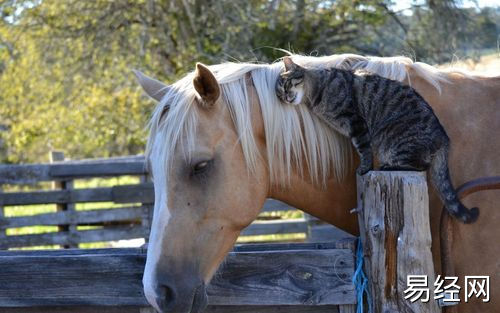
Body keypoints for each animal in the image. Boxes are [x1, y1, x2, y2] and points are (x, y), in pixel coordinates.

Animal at [276, 56, 478, 222]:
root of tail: (444, 137)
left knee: (419, 166)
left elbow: (364, 149)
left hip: (395, 139)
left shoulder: (356, 122)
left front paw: (364, 168)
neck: (317, 91)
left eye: (287, 84)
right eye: (279, 94)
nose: (285, 97)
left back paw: (388, 166)